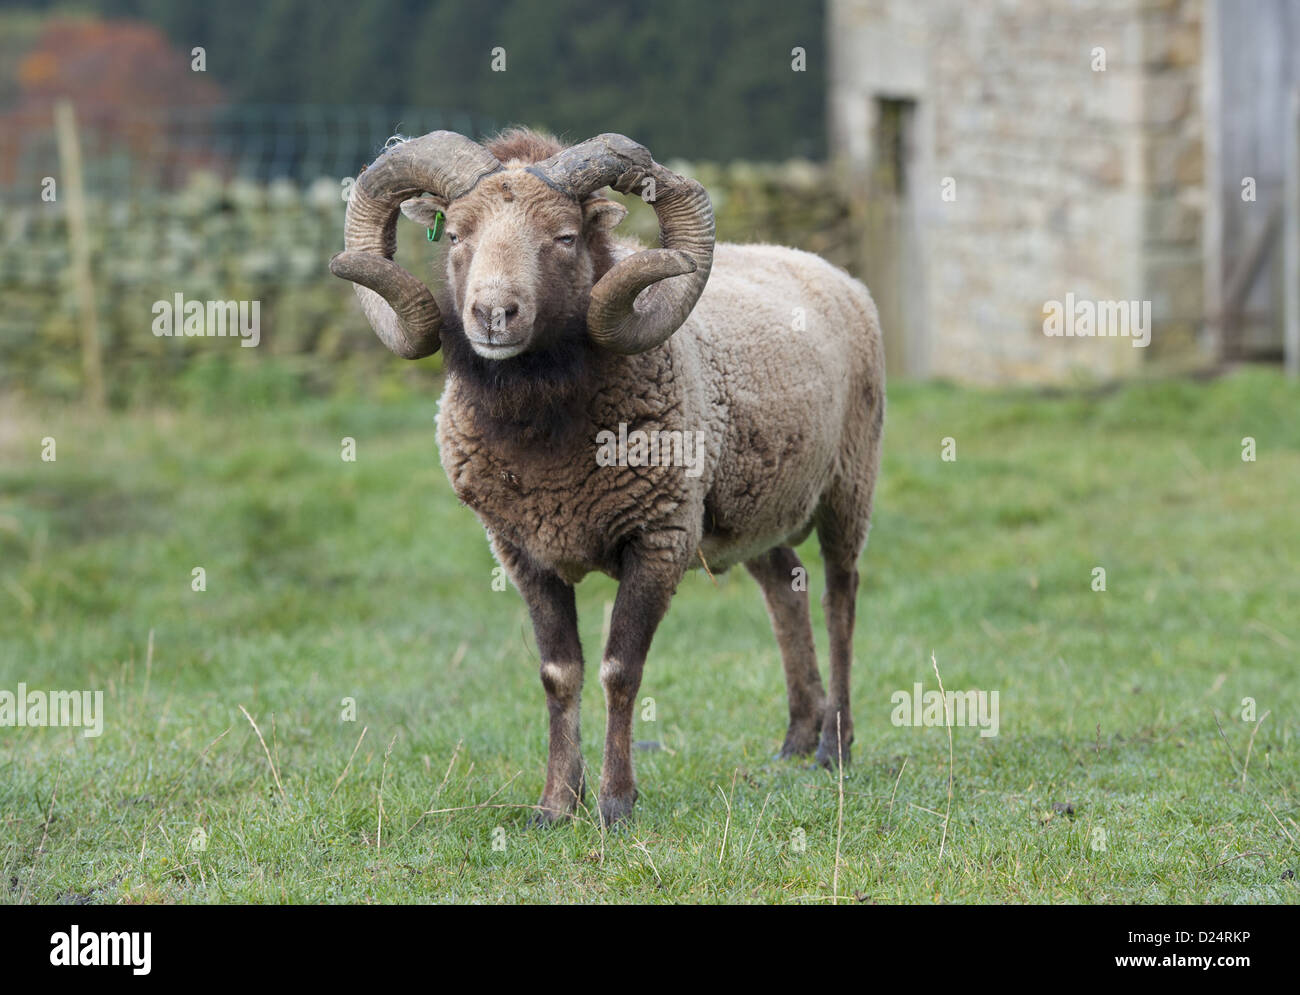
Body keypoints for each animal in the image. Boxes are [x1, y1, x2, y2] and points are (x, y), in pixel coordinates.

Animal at [330, 128, 885, 826]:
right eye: (455, 234)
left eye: (565, 237)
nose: (493, 314)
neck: (546, 435)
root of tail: (823, 266)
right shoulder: (521, 552)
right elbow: (558, 673)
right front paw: (554, 804)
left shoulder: (659, 538)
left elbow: (621, 670)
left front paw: (616, 803)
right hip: (746, 512)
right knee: (787, 588)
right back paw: (796, 739)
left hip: (849, 483)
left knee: (842, 599)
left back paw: (835, 746)